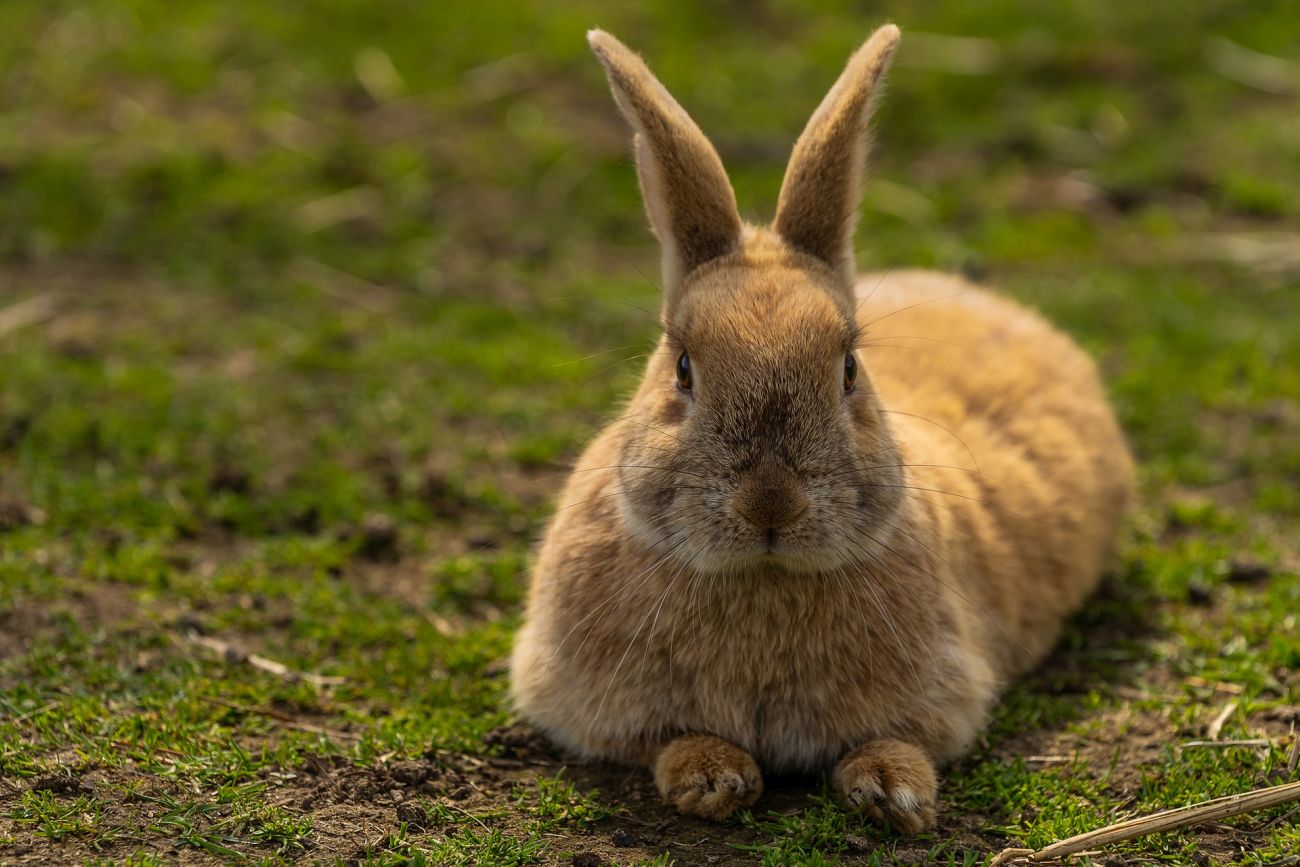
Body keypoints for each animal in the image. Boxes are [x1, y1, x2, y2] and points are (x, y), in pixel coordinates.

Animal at [506, 22, 1138, 831]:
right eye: (683, 368)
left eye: (848, 369)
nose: (770, 504)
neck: (763, 577)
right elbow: (668, 739)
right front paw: (711, 776)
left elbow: (897, 740)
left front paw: (895, 791)